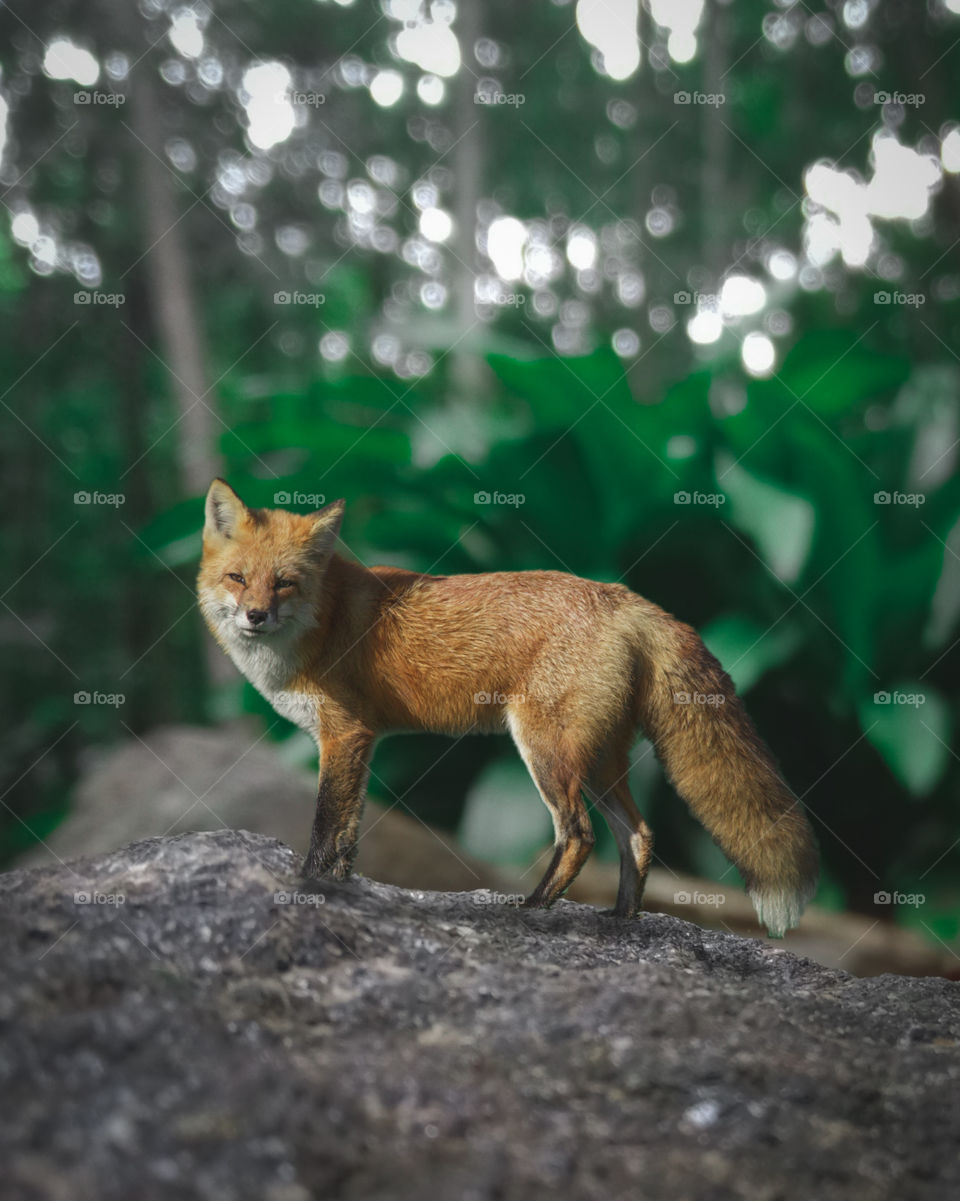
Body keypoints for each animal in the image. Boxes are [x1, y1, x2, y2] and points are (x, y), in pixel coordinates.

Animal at [197, 479, 818, 937]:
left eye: (285, 584)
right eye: (238, 578)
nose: (255, 616)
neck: (320, 625)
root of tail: (626, 596)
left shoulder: (345, 735)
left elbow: (326, 827)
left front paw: (307, 886)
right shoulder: (360, 743)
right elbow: (348, 836)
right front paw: (343, 890)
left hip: (545, 749)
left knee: (580, 834)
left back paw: (533, 909)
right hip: (598, 758)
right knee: (638, 834)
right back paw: (621, 919)